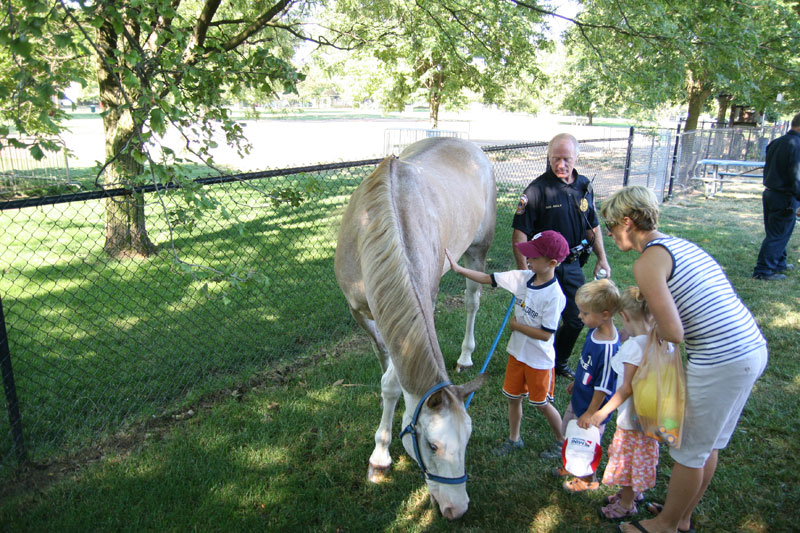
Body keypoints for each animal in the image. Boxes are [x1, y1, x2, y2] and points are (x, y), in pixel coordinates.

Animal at [332, 135, 494, 516]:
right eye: (433, 445)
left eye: (468, 440)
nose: (458, 508)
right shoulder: (360, 312)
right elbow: (385, 364)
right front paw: (380, 454)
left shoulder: (420, 304)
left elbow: (393, 381)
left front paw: (379, 455)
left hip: (478, 251)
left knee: (472, 301)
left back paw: (466, 355)